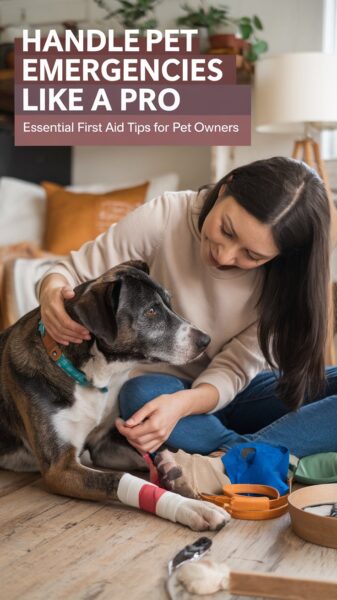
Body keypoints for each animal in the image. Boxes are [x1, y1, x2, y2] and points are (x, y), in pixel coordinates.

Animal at [0, 258, 228, 528]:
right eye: (151, 311)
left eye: (169, 303)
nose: (206, 340)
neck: (89, 376)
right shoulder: (59, 468)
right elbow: (120, 479)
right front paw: (191, 508)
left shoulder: (103, 445)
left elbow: (146, 458)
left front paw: (176, 473)